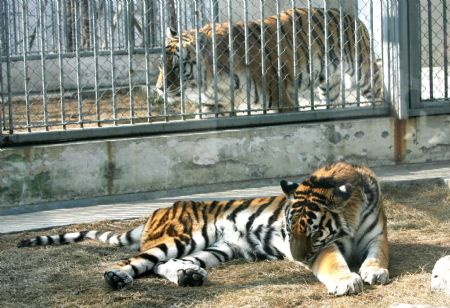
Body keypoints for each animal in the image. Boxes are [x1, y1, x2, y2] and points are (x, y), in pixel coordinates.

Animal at [19, 162, 388, 298]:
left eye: (312, 231)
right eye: (288, 229)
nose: (297, 258)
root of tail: (156, 211)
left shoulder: (377, 237)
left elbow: (377, 256)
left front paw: (374, 272)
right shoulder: (329, 247)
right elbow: (334, 263)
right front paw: (347, 281)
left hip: (217, 249)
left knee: (163, 265)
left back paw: (189, 276)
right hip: (185, 237)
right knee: (137, 260)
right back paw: (116, 278)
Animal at [156, 8, 384, 116]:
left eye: (176, 66)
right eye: (161, 65)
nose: (159, 88)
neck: (212, 81)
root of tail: (349, 14)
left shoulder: (282, 100)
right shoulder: (212, 105)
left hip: (364, 73)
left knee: (378, 93)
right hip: (329, 85)